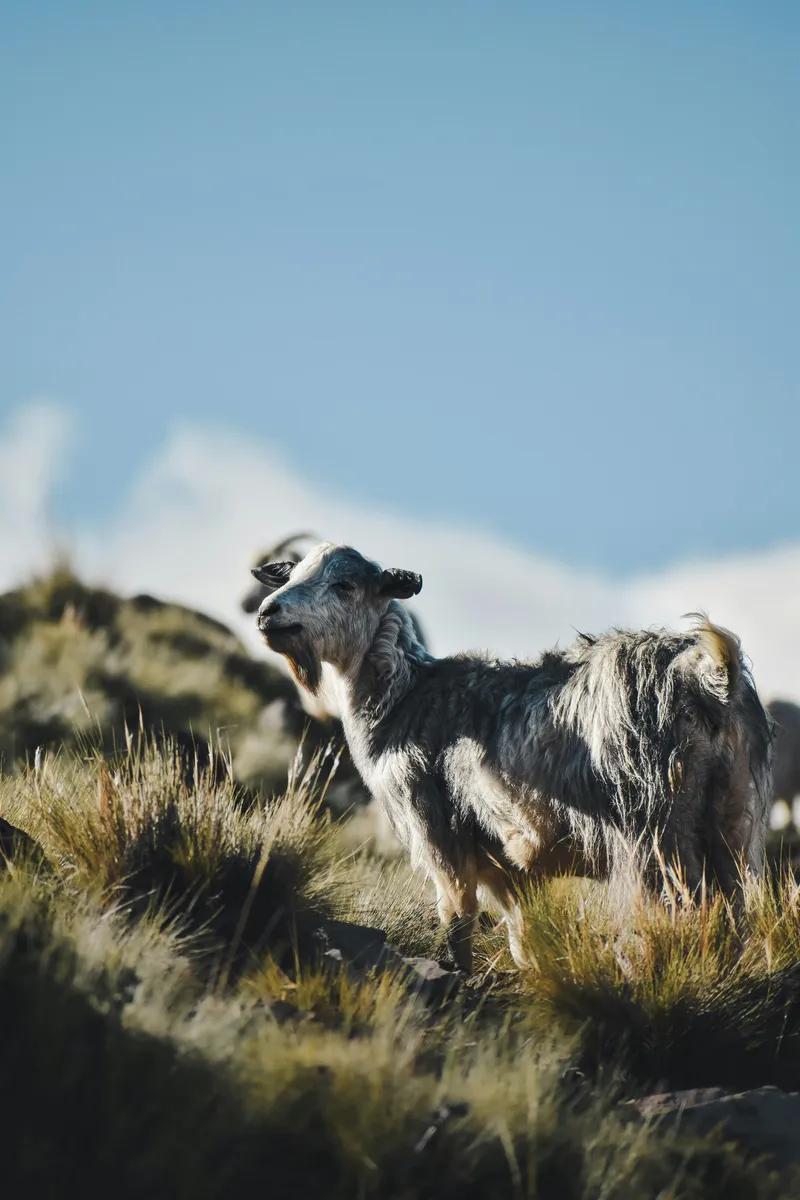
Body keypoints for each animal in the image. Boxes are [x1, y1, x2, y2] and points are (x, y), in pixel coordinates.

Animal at [253, 543, 773, 972]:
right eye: (291, 574)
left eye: (345, 584)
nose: (268, 613)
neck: (403, 697)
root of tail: (709, 675)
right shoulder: (510, 870)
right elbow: (524, 942)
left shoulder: (439, 832)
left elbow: (457, 921)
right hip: (729, 820)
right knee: (732, 913)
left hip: (654, 829)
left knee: (679, 909)